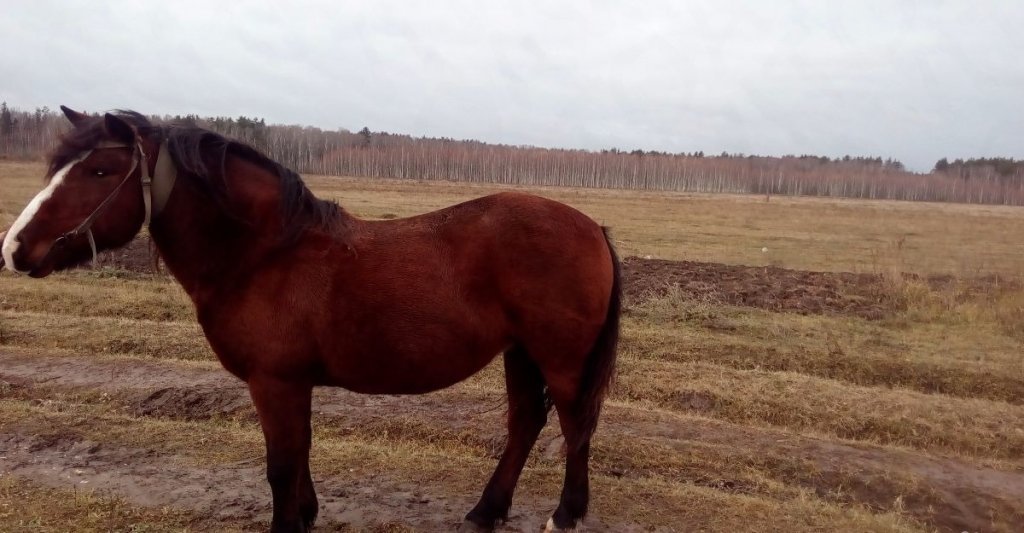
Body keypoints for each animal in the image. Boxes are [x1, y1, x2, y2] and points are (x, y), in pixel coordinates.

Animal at [0, 107, 618, 531]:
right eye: (57, 166)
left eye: (101, 170)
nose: (14, 248)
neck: (264, 253)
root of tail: (592, 226)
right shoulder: (292, 384)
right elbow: (298, 459)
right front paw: (307, 513)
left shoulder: (274, 382)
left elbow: (281, 465)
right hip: (520, 352)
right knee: (525, 424)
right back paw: (486, 511)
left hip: (559, 359)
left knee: (573, 426)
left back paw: (564, 515)